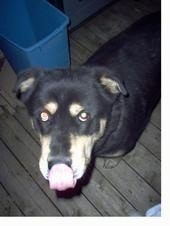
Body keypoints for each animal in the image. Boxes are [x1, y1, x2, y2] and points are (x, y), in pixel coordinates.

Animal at [14, 11, 161, 191]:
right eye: (44, 115)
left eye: (84, 116)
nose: (58, 165)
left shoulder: (124, 145)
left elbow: (118, 154)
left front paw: (112, 161)